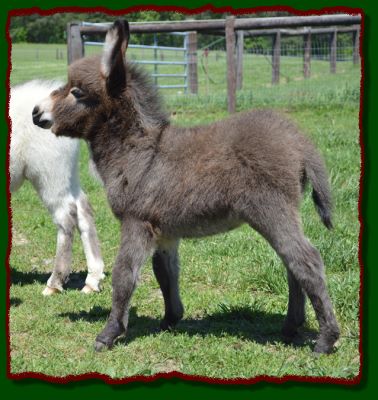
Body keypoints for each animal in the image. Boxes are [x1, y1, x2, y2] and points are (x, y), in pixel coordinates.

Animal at [33, 20, 340, 354]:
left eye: (77, 92)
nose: (36, 112)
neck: (137, 149)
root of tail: (299, 140)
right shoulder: (164, 231)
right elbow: (165, 273)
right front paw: (170, 320)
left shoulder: (136, 221)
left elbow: (124, 275)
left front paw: (109, 333)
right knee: (291, 263)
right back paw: (290, 328)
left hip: (271, 210)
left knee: (306, 260)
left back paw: (326, 339)